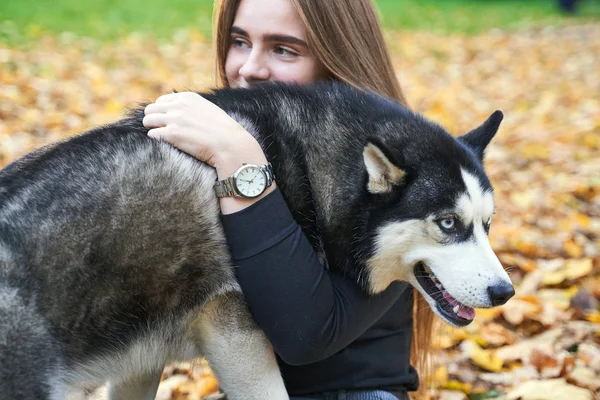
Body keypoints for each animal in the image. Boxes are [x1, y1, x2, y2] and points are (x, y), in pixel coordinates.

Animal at [1, 83, 516, 398]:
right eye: (447, 223)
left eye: (487, 224)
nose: (504, 292)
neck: (304, 173)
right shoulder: (234, 330)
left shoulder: (141, 360)